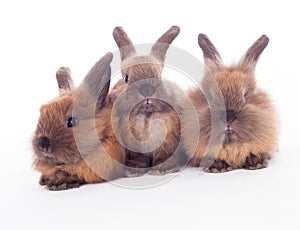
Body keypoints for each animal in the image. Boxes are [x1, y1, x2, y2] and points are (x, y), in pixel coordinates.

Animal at [110, 25, 190, 176]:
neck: (147, 115)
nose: (147, 90)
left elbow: (164, 156)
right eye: (126, 78)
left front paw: (162, 170)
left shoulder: (168, 141)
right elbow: (138, 158)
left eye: (159, 75)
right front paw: (134, 171)